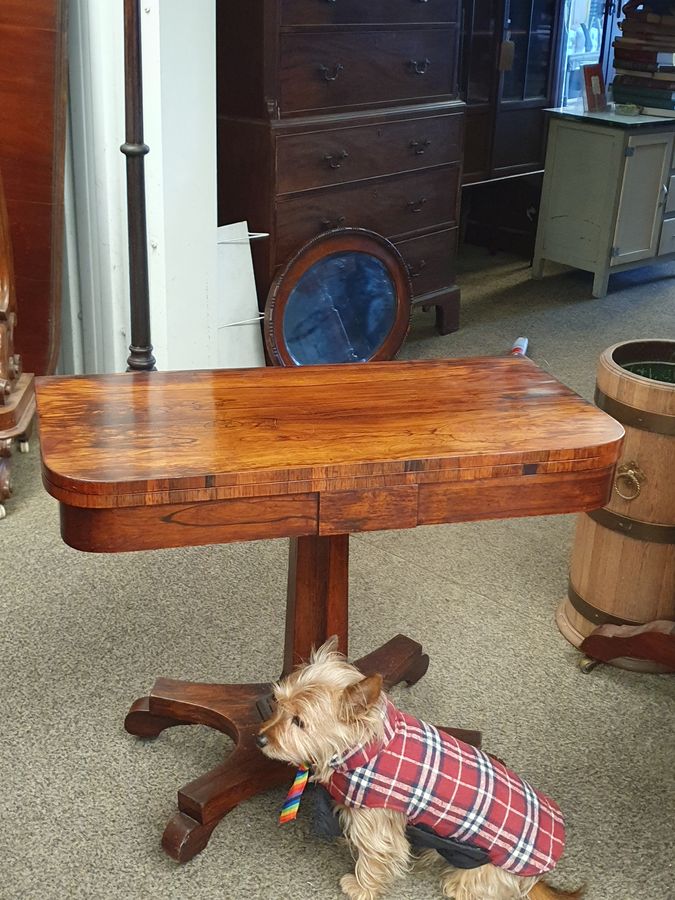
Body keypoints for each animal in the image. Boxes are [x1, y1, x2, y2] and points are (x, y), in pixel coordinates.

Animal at [258, 640, 580, 900]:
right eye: (278, 702)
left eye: (299, 722)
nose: (259, 739)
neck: (366, 748)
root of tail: (541, 873)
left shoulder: (378, 821)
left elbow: (375, 858)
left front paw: (361, 887)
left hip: (479, 869)